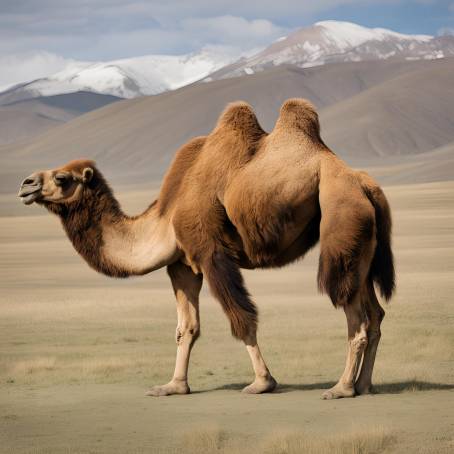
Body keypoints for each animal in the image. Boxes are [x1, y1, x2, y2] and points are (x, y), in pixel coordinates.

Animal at [17, 98, 394, 398]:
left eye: (62, 178)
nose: (26, 184)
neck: (165, 217)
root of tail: (366, 185)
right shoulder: (182, 265)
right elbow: (187, 329)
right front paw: (173, 386)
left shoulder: (210, 252)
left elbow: (242, 318)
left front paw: (263, 382)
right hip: (363, 248)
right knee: (375, 315)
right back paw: (363, 385)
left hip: (340, 223)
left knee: (354, 316)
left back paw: (341, 388)